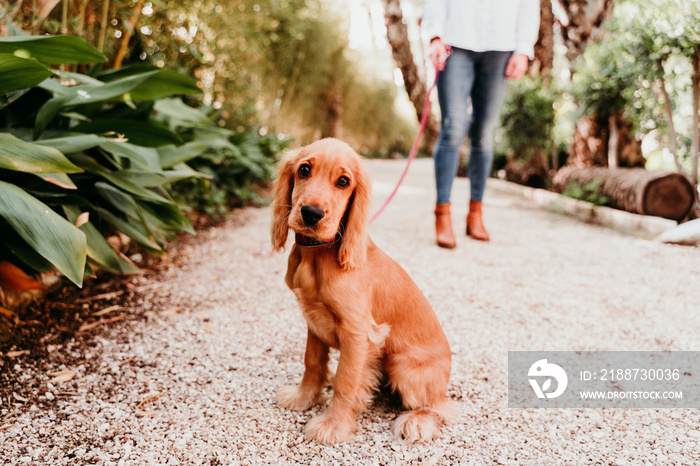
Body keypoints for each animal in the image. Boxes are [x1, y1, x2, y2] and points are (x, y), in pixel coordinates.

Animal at [270, 137, 456, 444]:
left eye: (343, 181)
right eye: (304, 169)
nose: (311, 213)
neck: (318, 255)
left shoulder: (357, 332)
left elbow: (345, 380)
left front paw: (333, 425)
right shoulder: (313, 321)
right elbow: (312, 362)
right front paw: (303, 397)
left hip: (403, 366)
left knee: (442, 406)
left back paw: (416, 422)